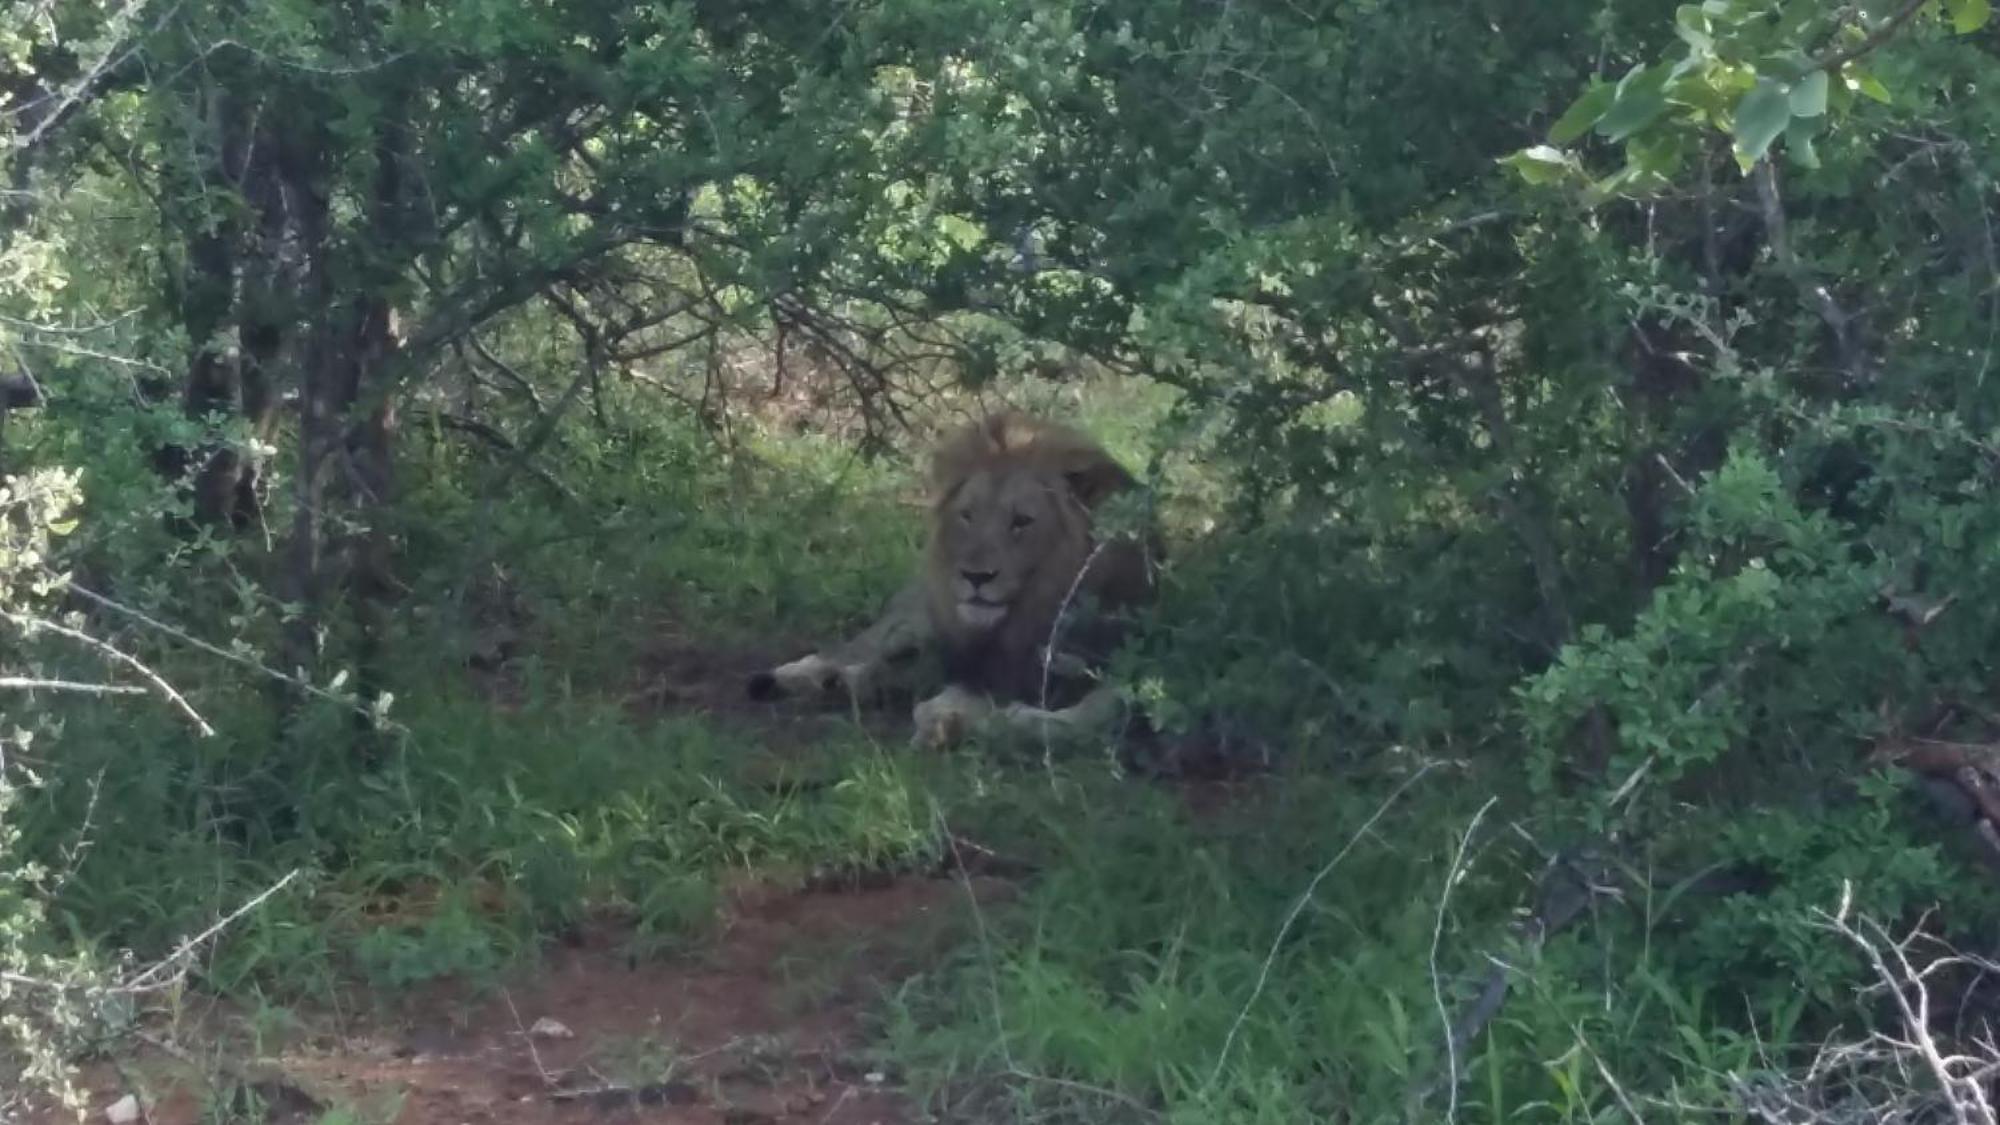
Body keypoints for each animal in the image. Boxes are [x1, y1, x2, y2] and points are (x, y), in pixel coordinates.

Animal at [748, 410, 1160, 744]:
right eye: (968, 516)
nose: (976, 576)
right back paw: (801, 677)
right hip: (915, 616)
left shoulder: (1130, 662)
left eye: (1022, 521)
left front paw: (993, 720)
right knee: (858, 647)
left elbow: (1101, 712)